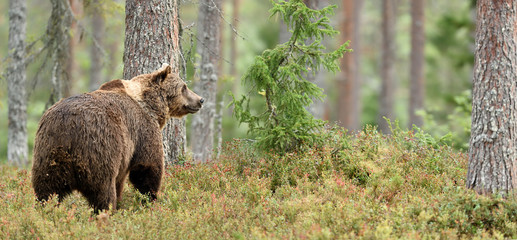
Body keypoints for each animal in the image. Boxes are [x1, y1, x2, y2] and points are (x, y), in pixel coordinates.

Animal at [30, 63, 204, 212]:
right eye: (184, 87)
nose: (200, 100)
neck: (150, 105)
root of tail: (68, 126)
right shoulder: (143, 131)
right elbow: (147, 167)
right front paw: (150, 199)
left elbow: (122, 181)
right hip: (100, 149)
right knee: (103, 191)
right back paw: (106, 213)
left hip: (48, 153)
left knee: (47, 190)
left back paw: (45, 211)